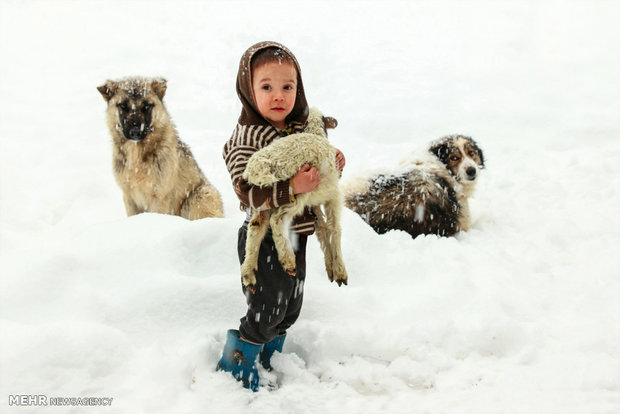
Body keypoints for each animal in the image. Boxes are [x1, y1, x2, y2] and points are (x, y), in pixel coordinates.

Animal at [97, 77, 223, 220]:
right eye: (123, 106)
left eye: (146, 106)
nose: (135, 132)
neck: (137, 158)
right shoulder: (128, 196)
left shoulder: (159, 196)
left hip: (200, 196)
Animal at [241, 108, 348, 292]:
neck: (315, 132)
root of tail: (259, 165)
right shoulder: (333, 195)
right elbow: (335, 228)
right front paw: (340, 270)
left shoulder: (315, 203)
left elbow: (322, 229)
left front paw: (330, 267)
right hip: (297, 190)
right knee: (277, 220)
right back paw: (288, 261)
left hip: (262, 198)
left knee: (256, 227)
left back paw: (248, 275)